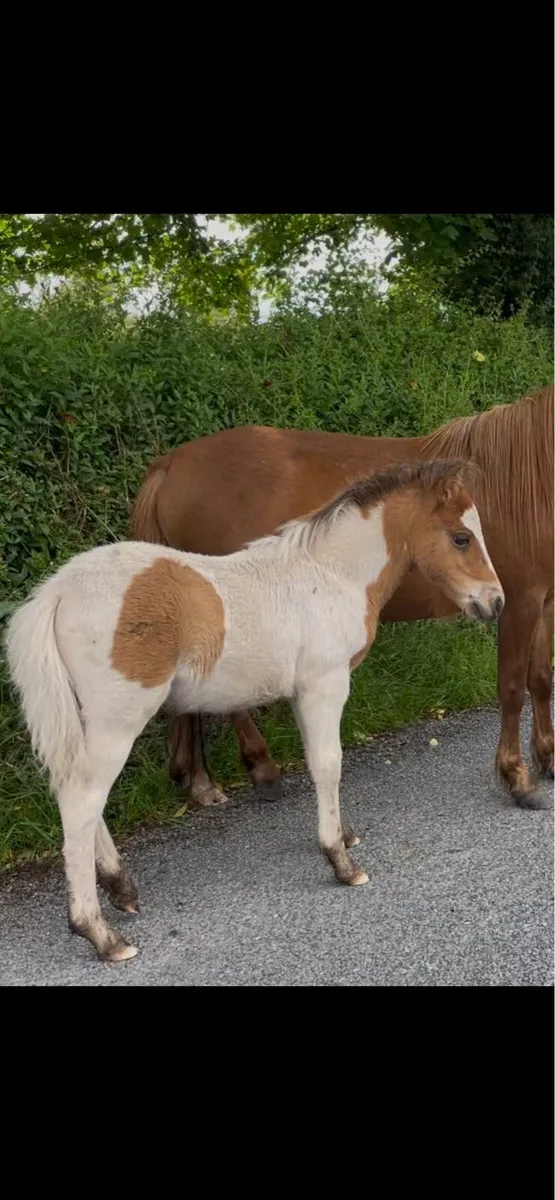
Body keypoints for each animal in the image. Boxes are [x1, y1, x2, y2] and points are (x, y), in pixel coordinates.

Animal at [6, 460, 503, 962]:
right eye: (462, 537)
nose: (495, 602)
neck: (330, 574)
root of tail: (57, 592)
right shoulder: (325, 685)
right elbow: (329, 763)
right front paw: (341, 861)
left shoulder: (303, 692)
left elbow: (317, 763)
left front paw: (342, 834)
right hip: (118, 718)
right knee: (82, 799)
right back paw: (100, 933)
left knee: (76, 793)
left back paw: (121, 888)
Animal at [131, 385, 554, 810]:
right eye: (462, 539)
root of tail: (170, 463)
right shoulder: (519, 602)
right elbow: (512, 688)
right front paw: (517, 777)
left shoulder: (544, 602)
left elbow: (540, 678)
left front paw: (547, 759)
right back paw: (260, 767)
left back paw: (199, 780)